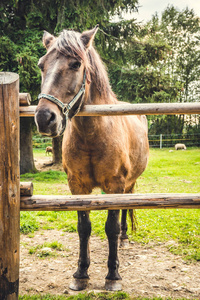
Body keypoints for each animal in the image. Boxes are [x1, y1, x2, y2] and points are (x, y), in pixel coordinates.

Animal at [35, 25, 149, 290]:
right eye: (41, 65)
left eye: (76, 64)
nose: (44, 118)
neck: (92, 136)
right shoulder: (77, 187)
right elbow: (83, 228)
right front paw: (81, 274)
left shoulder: (116, 186)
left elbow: (111, 227)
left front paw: (112, 275)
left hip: (127, 185)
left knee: (124, 211)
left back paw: (124, 238)